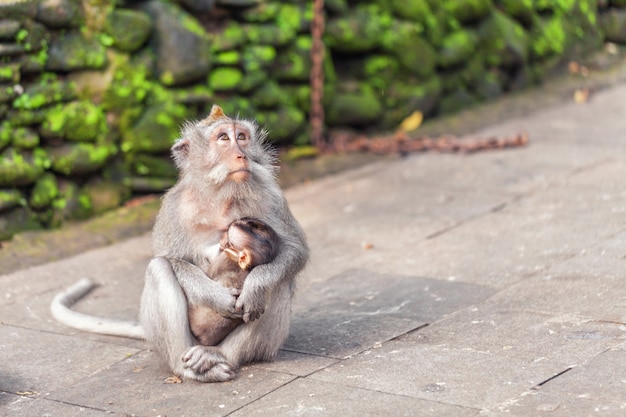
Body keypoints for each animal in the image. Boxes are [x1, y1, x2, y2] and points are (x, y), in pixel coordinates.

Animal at [51, 105, 308, 382]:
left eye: (241, 136)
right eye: (223, 138)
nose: (241, 155)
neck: (222, 195)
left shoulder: (270, 194)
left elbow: (294, 250)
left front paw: (256, 286)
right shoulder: (174, 207)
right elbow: (170, 258)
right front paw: (217, 297)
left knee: (279, 282)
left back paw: (218, 355)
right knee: (159, 269)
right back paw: (183, 366)